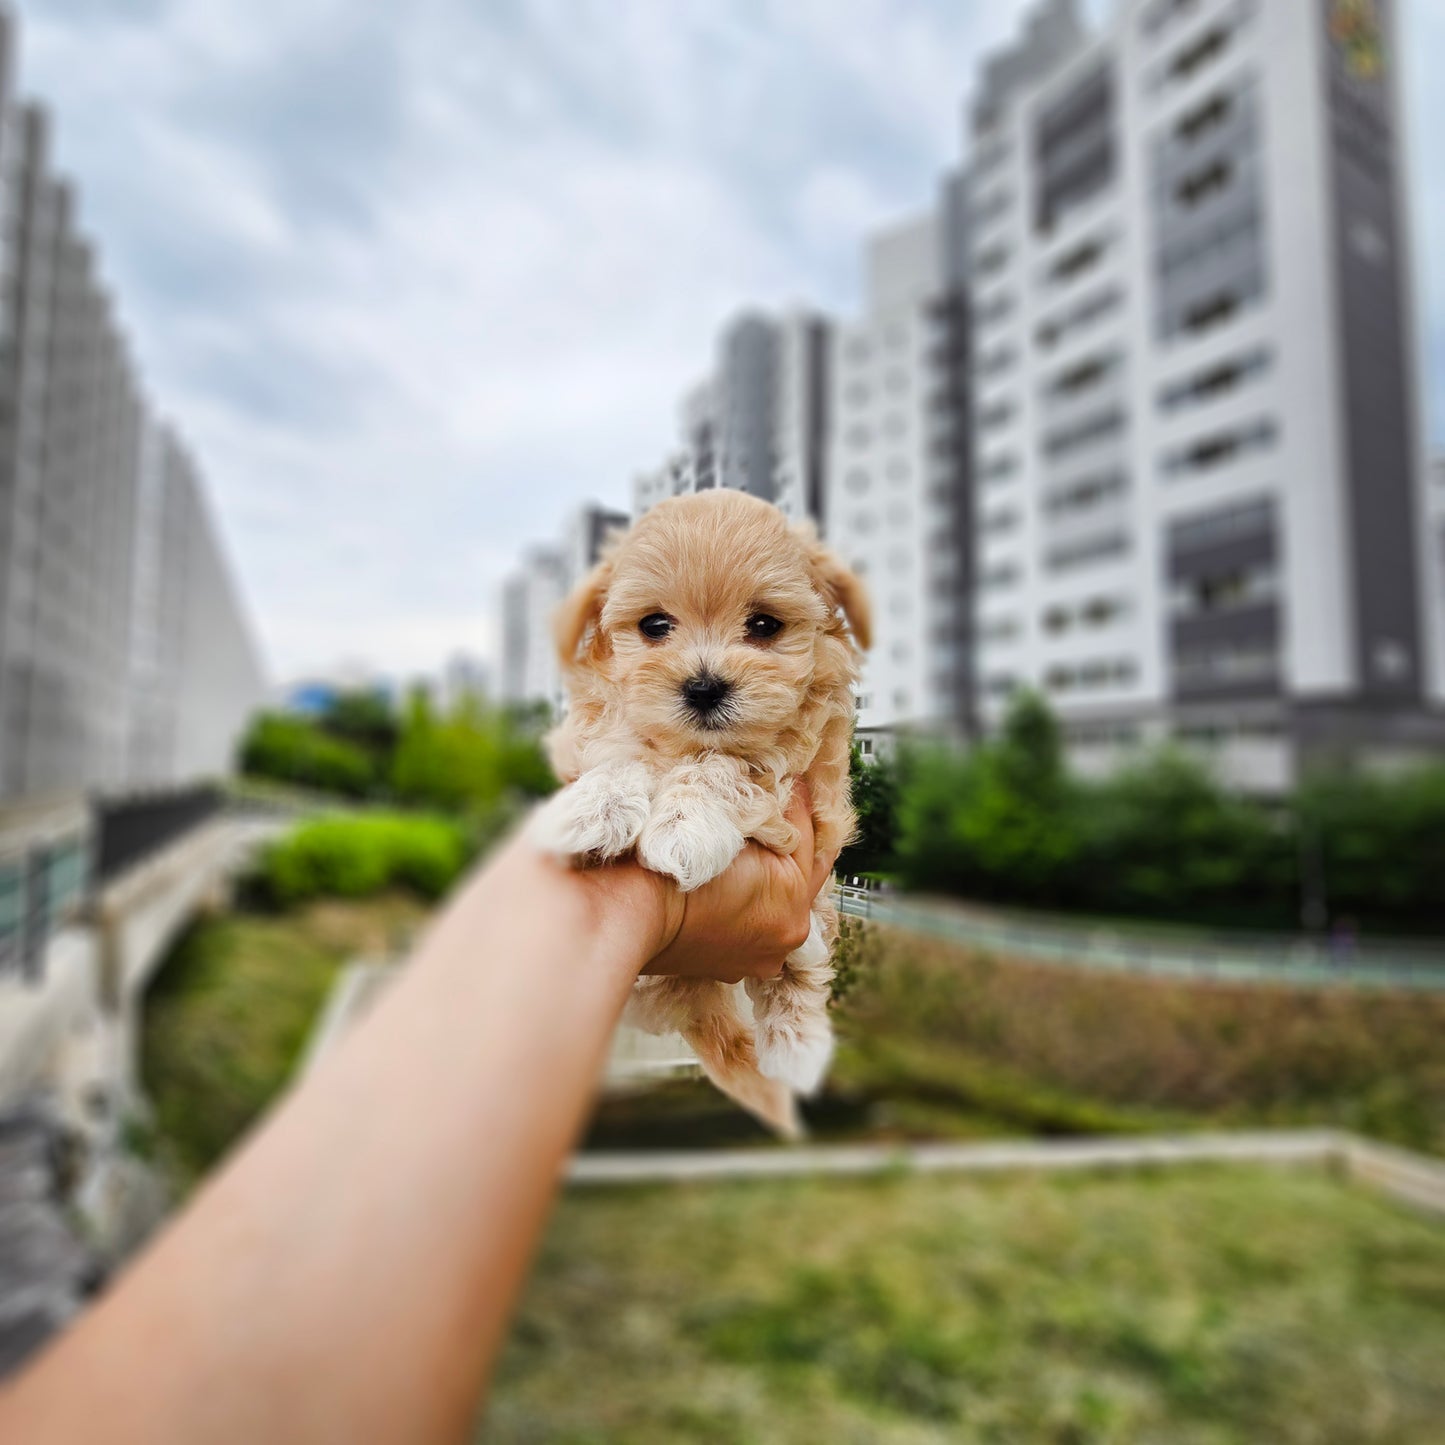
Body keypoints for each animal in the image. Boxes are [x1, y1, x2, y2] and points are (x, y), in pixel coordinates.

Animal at [531, 491, 867, 1132]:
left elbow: (730, 764)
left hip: (812, 913)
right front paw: (596, 806)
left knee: (804, 969)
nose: (705, 688)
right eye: (655, 626)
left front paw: (684, 826)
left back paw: (798, 1048)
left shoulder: (806, 771)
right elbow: (622, 746)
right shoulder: (601, 727)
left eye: (764, 625)